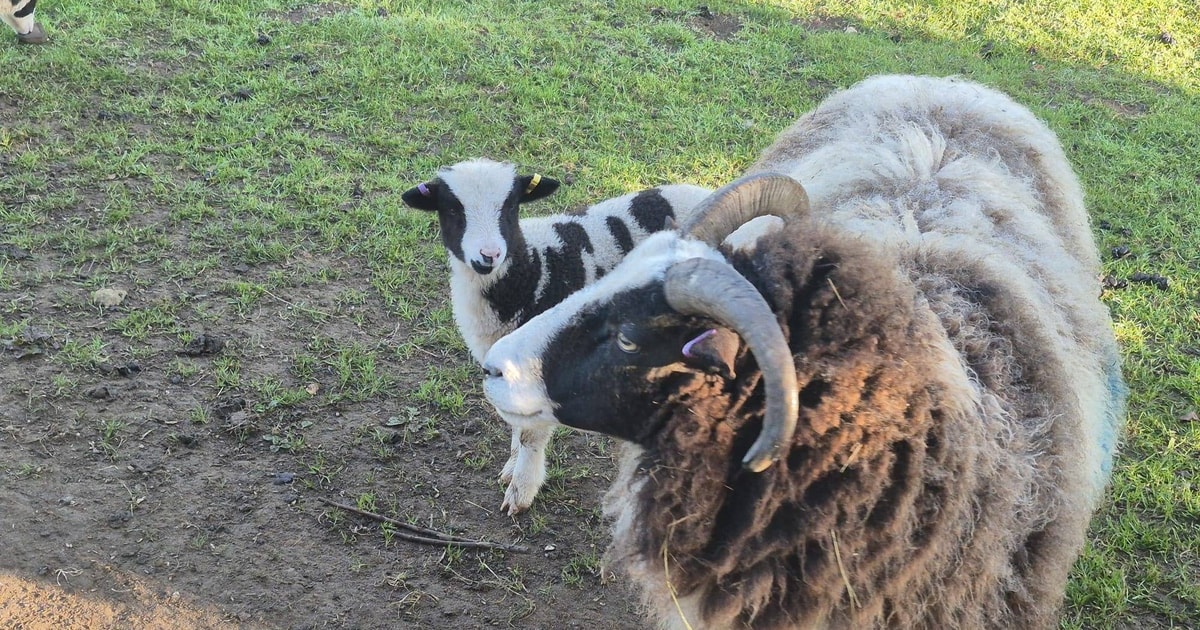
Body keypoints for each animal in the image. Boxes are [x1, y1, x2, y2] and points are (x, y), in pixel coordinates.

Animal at [401, 158, 712, 514]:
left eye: (510, 207)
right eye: (452, 209)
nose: (488, 256)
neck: (534, 269)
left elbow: (530, 435)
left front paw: (521, 491)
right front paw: (511, 466)